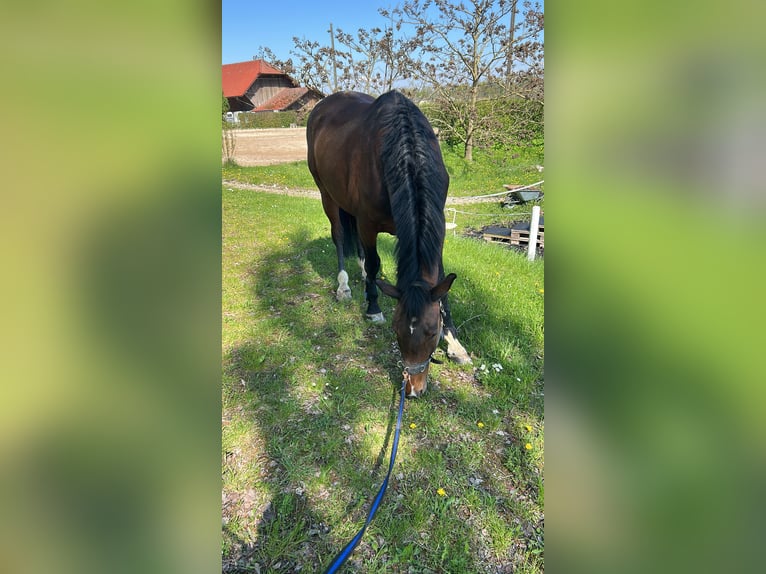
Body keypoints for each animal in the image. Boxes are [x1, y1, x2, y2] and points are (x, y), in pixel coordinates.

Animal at [306, 90, 471, 398]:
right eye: (396, 330)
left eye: (432, 331)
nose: (413, 389)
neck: (405, 153)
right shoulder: (368, 223)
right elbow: (374, 262)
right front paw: (373, 308)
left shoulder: (437, 227)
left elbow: (441, 282)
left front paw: (455, 343)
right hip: (327, 196)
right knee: (339, 237)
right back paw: (345, 286)